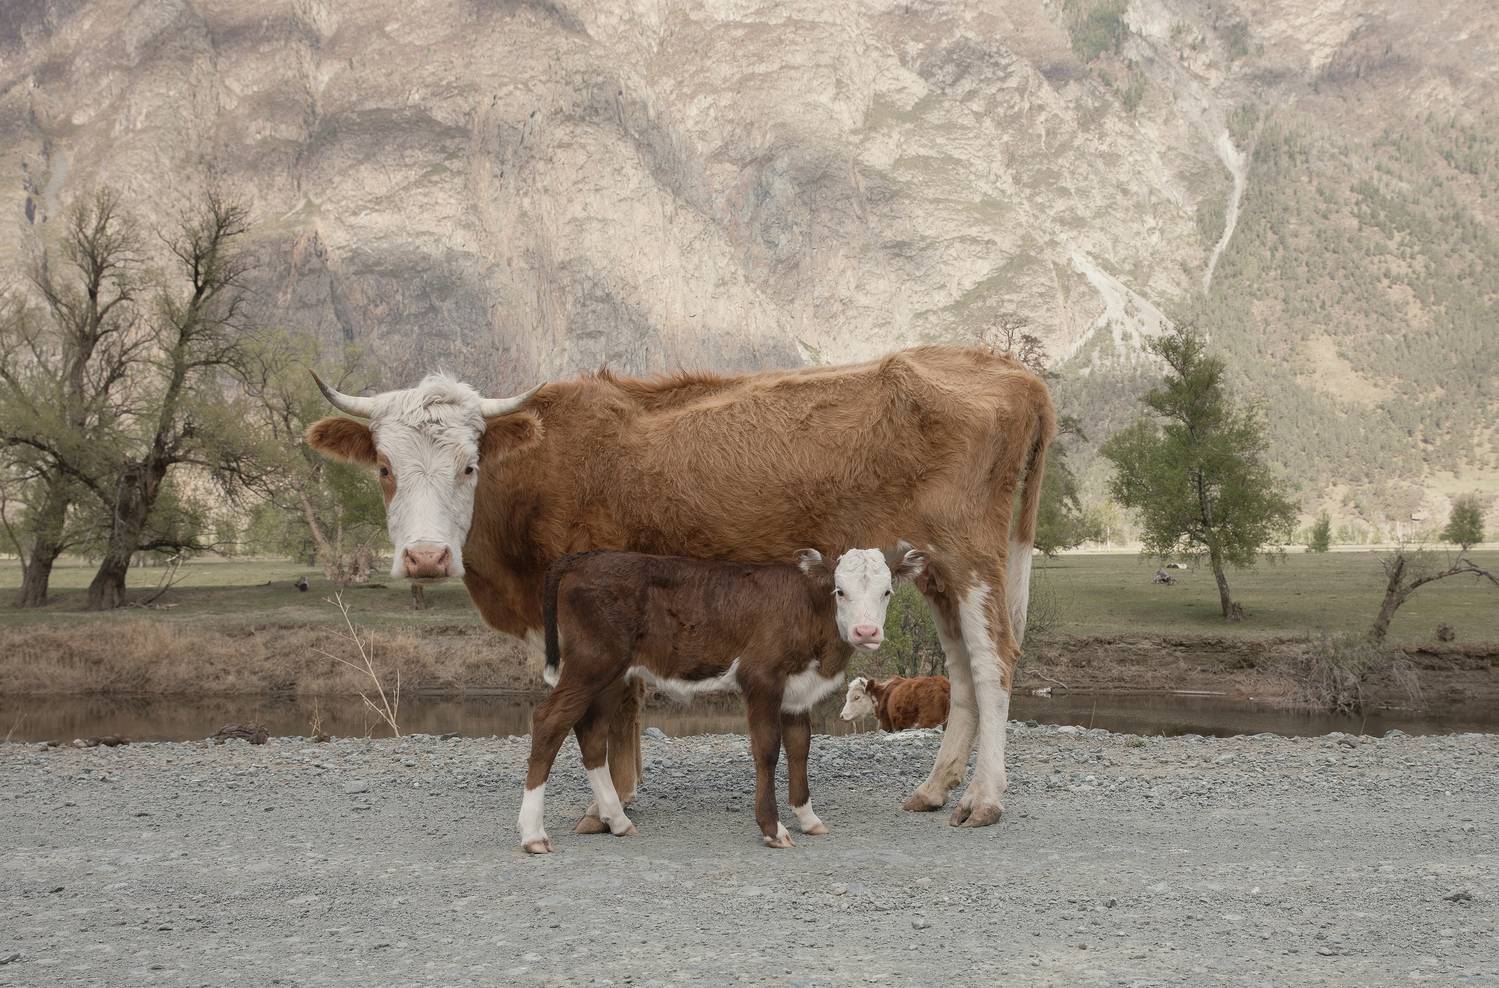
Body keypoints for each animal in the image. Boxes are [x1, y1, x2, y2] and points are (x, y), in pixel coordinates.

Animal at [522, 544, 925, 853]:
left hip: (614, 675)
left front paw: (808, 818)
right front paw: (773, 829)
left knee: (590, 731)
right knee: (549, 720)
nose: (866, 631)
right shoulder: (761, 678)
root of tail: (585, 557)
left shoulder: (798, 691)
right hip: (592, 662)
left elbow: (800, 747)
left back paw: (617, 821)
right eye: (840, 591)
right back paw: (533, 835)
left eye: (887, 592)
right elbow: (768, 748)